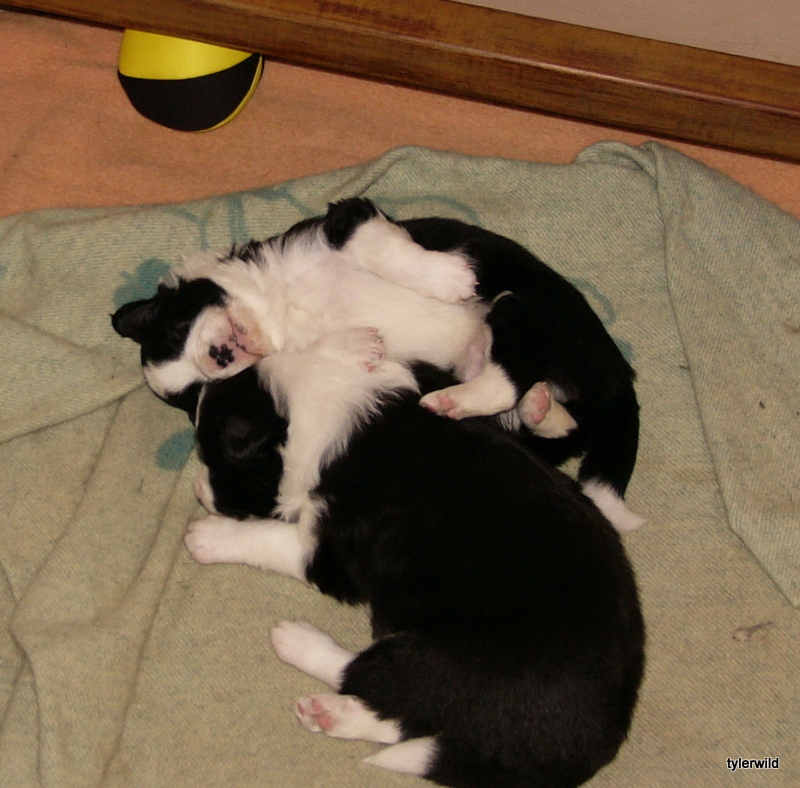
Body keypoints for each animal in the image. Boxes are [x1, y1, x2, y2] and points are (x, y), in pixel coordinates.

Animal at [112, 198, 642, 528]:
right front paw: (359, 345)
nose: (218, 357)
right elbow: (309, 354)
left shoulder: (347, 220)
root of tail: (620, 375)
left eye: (177, 331)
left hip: (524, 309)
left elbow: (383, 248)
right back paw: (495, 404)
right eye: (193, 384)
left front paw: (449, 279)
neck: (278, 309)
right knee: (523, 401)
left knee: (516, 378)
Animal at [180, 330, 645, 788]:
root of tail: (595, 741)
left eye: (213, 459)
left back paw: (298, 642)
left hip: (448, 658)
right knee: (406, 717)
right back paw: (332, 714)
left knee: (374, 678)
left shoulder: (332, 556)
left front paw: (208, 536)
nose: (198, 491)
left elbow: (271, 539)